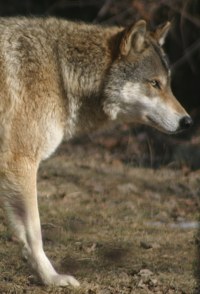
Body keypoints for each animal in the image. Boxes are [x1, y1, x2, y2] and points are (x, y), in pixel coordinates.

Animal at [0, 17, 192, 286]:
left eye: (168, 85)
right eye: (154, 83)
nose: (187, 121)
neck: (61, 73)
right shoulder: (20, 162)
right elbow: (34, 232)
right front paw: (52, 278)